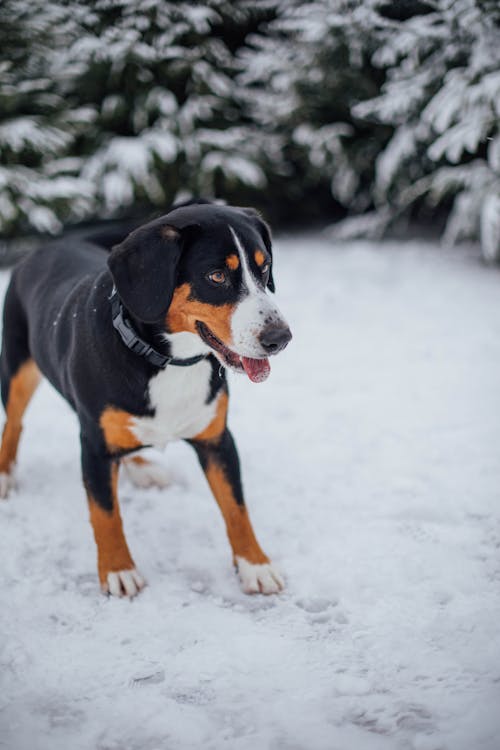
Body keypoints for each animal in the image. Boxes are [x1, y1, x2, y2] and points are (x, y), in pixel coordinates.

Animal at [0, 201, 292, 600]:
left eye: (264, 268)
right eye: (216, 276)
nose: (281, 337)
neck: (169, 360)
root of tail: (48, 248)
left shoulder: (217, 439)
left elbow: (236, 508)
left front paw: (254, 565)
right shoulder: (94, 447)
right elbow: (105, 514)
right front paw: (118, 570)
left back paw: (140, 466)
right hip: (17, 370)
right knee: (14, 423)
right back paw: (4, 475)